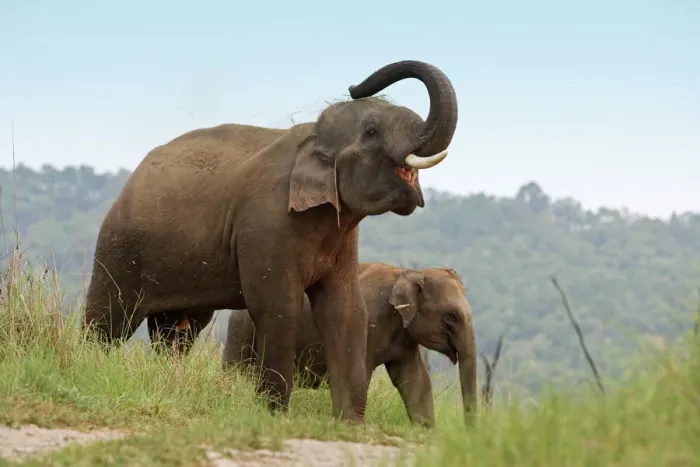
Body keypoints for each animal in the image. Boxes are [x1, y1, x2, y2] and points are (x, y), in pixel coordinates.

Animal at [222, 262, 477, 427]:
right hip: (241, 332)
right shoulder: (370, 325)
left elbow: (415, 379)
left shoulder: (405, 339)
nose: (469, 432)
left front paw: (426, 432)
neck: (407, 273)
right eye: (450, 316)